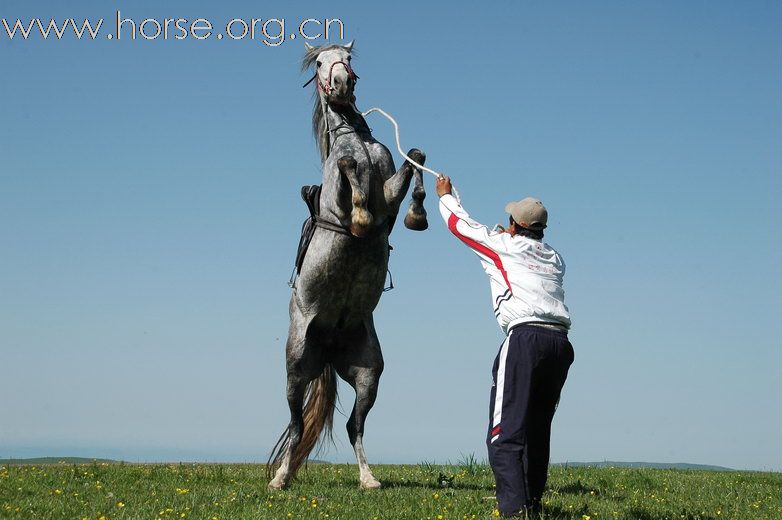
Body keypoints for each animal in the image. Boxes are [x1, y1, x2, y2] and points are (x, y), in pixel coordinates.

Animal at [268, 42, 428, 490]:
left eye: (349, 58)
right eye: (322, 63)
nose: (342, 82)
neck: (354, 137)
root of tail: (327, 347)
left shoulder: (389, 192)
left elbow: (415, 158)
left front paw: (418, 212)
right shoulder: (340, 193)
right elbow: (348, 169)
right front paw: (358, 215)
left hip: (368, 372)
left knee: (354, 426)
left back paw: (368, 479)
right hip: (296, 366)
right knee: (296, 425)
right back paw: (280, 478)